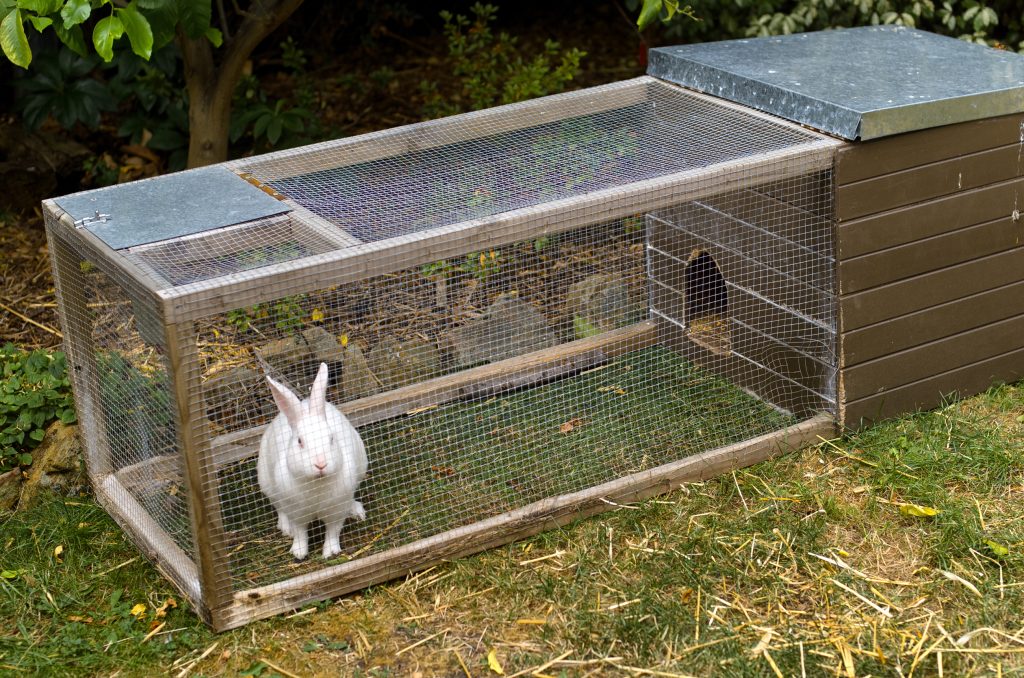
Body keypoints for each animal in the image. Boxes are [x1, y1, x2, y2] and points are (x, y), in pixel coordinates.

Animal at [256, 364, 368, 561]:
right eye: (300, 441)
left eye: (331, 438)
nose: (320, 464)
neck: (317, 483)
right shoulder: (297, 512)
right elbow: (301, 532)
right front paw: (298, 552)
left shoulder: (336, 510)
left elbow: (333, 531)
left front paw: (330, 552)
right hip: (267, 483)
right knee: (279, 507)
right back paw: (285, 528)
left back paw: (356, 510)